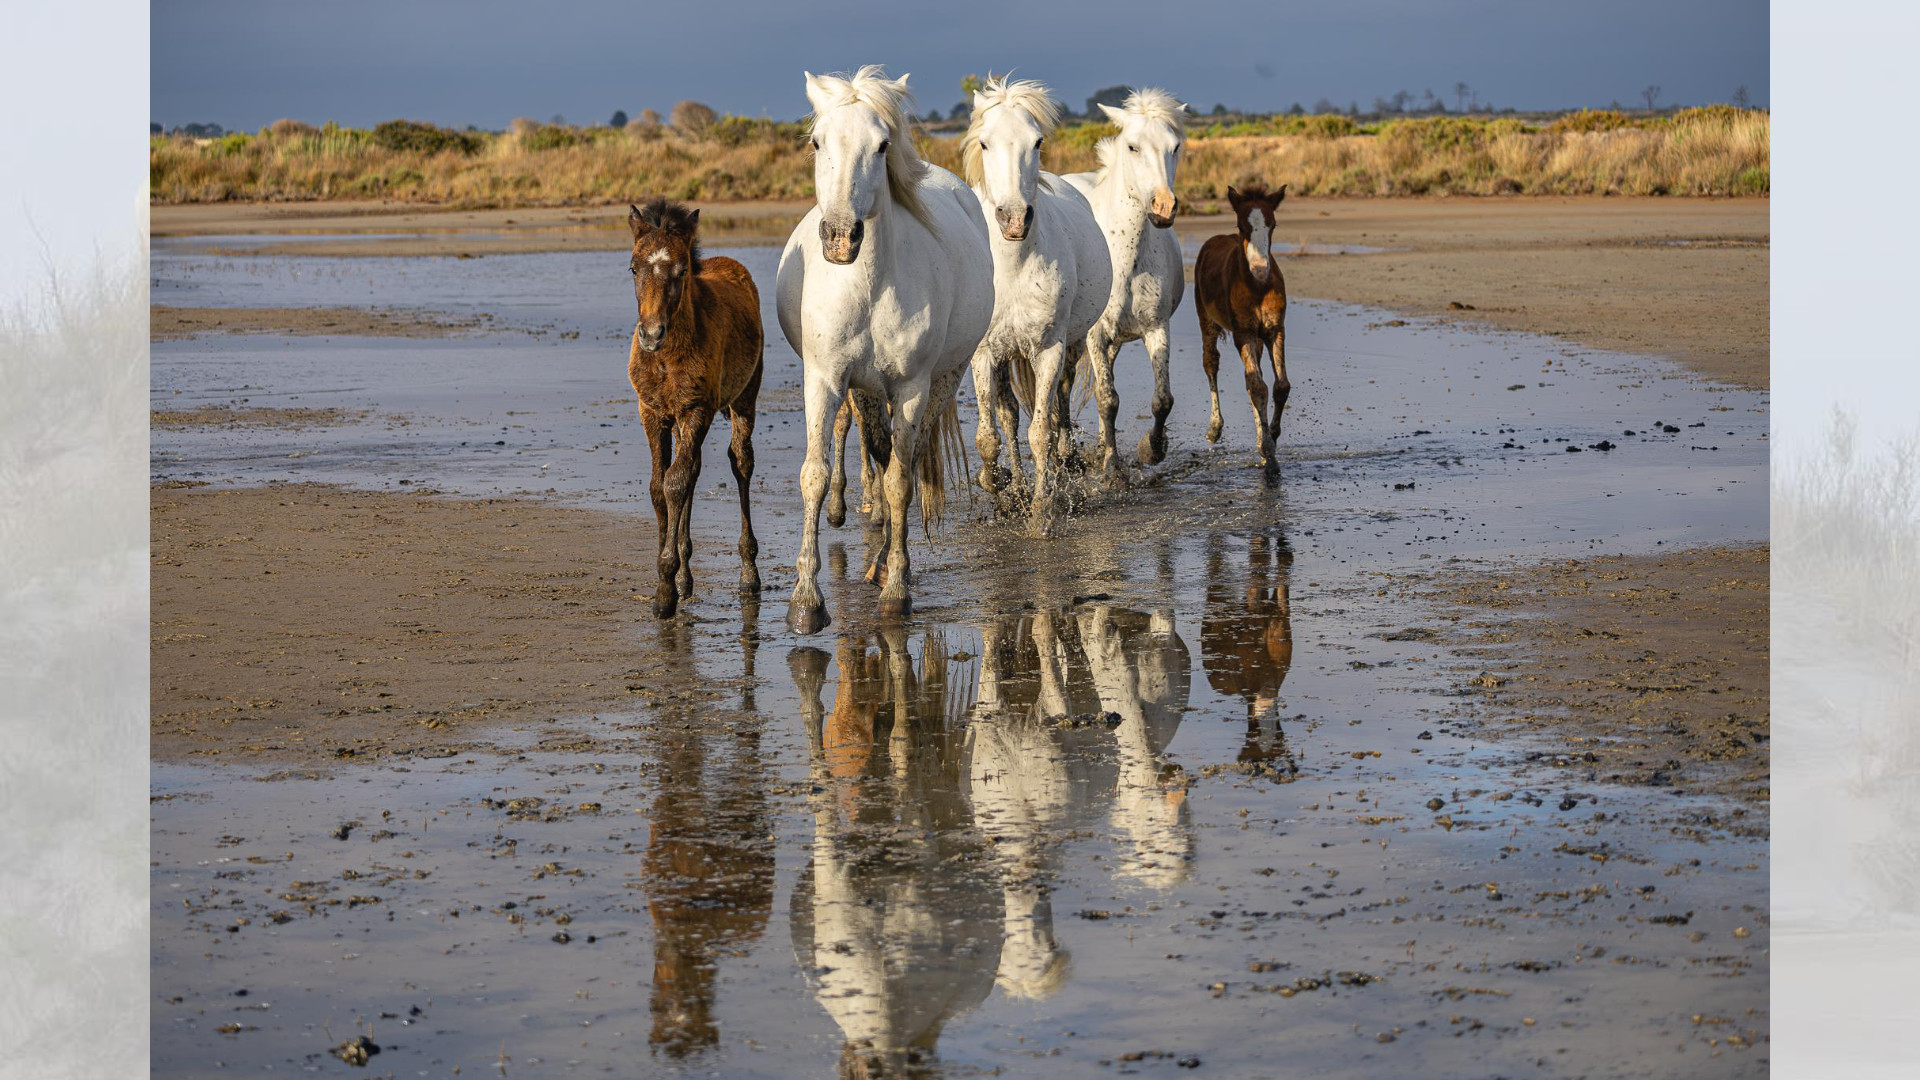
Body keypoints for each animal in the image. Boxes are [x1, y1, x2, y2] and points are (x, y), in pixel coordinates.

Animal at [618, 194, 760, 614]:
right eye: (633, 268)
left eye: (681, 271)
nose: (651, 334)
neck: (667, 357)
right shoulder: (653, 412)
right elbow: (658, 486)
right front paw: (672, 577)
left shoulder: (696, 409)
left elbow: (675, 483)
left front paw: (665, 589)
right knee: (693, 468)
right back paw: (686, 575)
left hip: (744, 397)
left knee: (740, 462)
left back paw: (749, 574)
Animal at [775, 67, 998, 630]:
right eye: (817, 141)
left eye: (881, 146)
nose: (838, 236)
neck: (867, 286)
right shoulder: (826, 380)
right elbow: (814, 474)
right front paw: (806, 602)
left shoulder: (913, 388)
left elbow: (900, 481)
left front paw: (896, 589)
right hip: (866, 390)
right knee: (877, 448)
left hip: (944, 380)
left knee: (909, 461)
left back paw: (885, 567)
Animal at [960, 73, 1113, 530]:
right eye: (985, 143)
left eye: (1038, 141)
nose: (1014, 218)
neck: (1011, 268)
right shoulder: (985, 353)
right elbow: (990, 436)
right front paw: (1001, 488)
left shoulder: (1048, 349)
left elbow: (1041, 431)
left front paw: (1043, 509)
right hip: (1006, 357)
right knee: (1009, 416)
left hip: (1072, 343)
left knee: (1059, 403)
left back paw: (1066, 464)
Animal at [1059, 88, 1190, 484]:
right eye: (1132, 147)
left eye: (1175, 146)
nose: (1163, 206)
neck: (1126, 259)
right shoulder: (1095, 335)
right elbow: (1107, 398)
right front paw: (1114, 470)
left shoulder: (1156, 329)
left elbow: (1162, 399)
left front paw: (1151, 450)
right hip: (1074, 338)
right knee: (1063, 386)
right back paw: (1065, 453)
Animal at [1198, 182, 1290, 476]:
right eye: (1241, 226)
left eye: (1273, 224)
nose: (1261, 269)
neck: (1258, 287)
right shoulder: (1243, 334)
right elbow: (1258, 387)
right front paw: (1268, 452)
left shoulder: (1275, 330)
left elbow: (1279, 385)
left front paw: (1271, 435)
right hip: (1206, 320)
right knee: (1211, 363)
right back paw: (1214, 429)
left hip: (1258, 339)